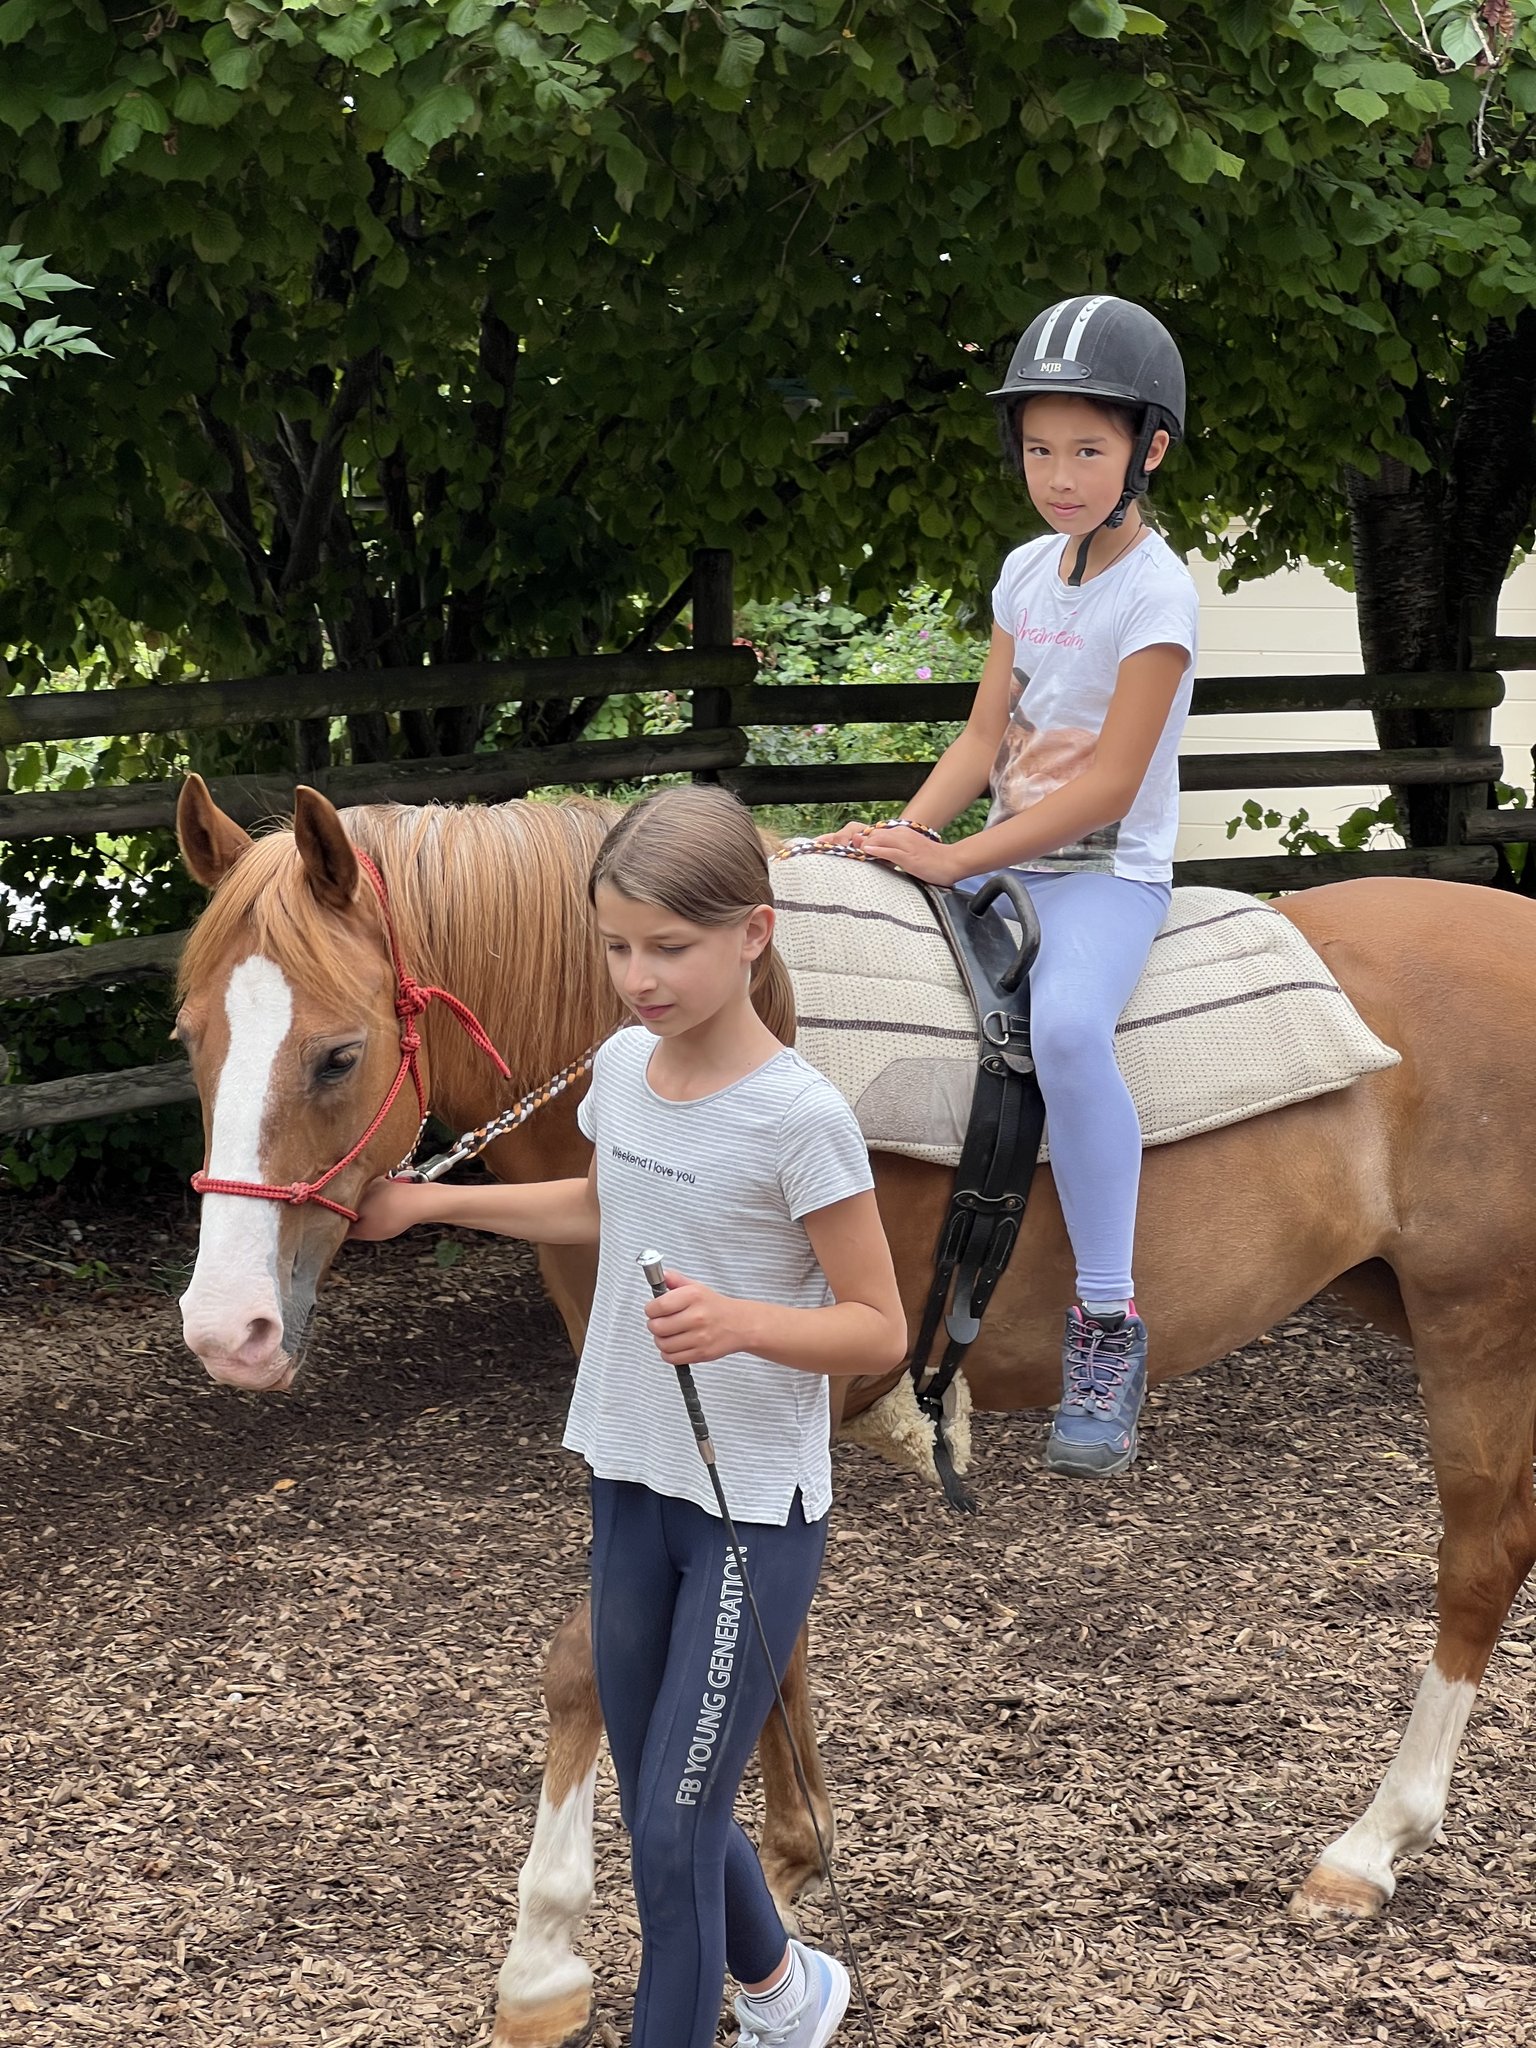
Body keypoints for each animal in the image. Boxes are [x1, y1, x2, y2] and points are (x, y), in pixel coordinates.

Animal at [171, 773, 1536, 2048]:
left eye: (338, 1055)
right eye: (191, 1035)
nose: (227, 1327)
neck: (715, 1048)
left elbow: (593, 1658)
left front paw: (545, 1952)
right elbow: (754, 1633)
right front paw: (791, 1851)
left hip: (1476, 1319)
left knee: (1479, 1560)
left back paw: (1371, 1843)